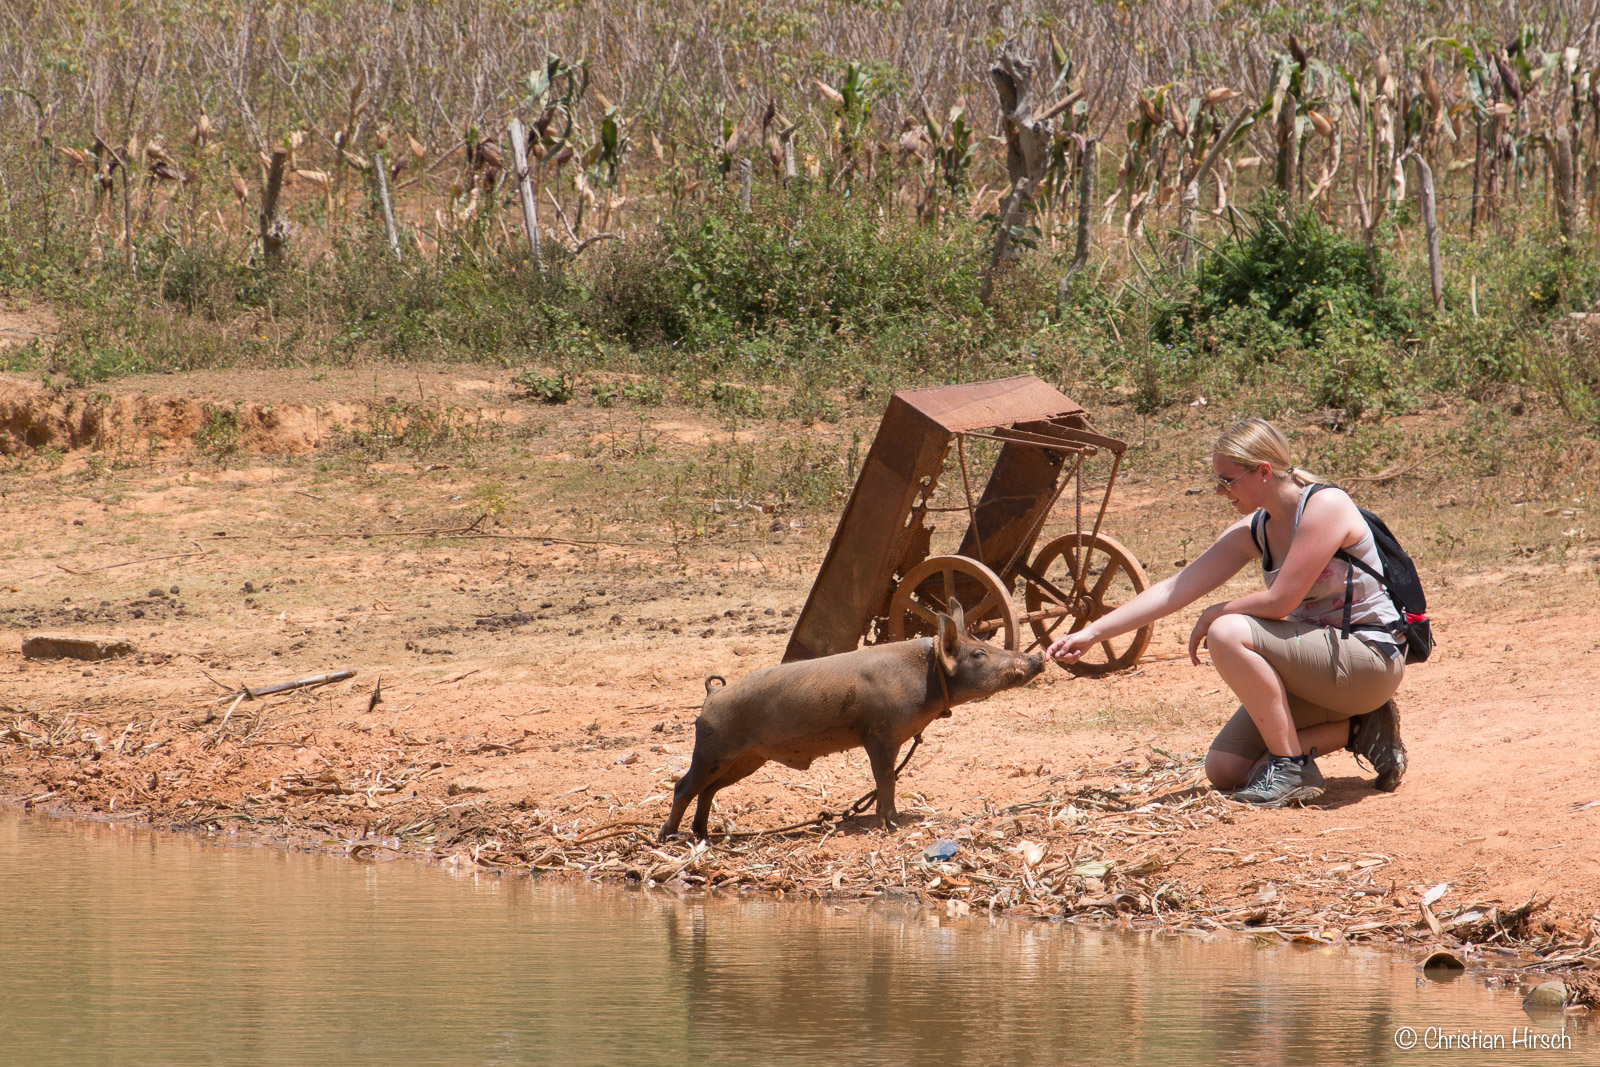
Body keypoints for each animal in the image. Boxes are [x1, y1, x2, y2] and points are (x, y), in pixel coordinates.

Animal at [658, 605, 1044, 841]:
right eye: (979, 653)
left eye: (982, 642)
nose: (1037, 658)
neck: (928, 679)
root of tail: (711, 696)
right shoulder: (877, 734)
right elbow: (885, 778)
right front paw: (892, 825)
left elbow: (889, 778)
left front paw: (890, 820)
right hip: (711, 751)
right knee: (683, 786)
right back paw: (669, 836)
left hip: (747, 760)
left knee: (707, 790)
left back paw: (702, 835)